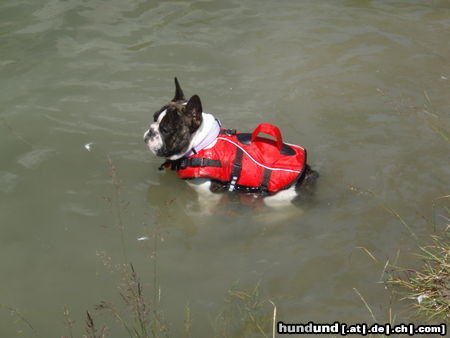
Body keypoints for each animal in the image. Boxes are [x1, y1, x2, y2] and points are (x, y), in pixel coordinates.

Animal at [143, 78, 316, 207]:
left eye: (165, 130)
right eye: (153, 118)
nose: (151, 131)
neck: (200, 145)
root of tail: (307, 172)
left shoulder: (208, 194)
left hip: (278, 198)